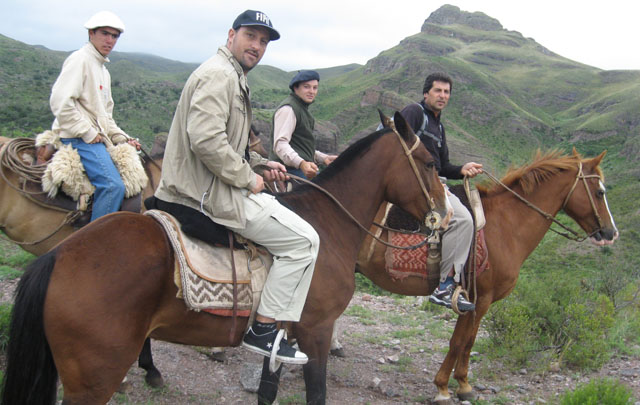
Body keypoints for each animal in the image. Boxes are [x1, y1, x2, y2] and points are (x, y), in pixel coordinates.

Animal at [0, 112, 450, 404]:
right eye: (430, 163)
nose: (444, 216)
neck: (328, 223)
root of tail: (57, 258)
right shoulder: (317, 330)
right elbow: (317, 393)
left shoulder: (283, 340)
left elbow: (267, 392)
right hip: (93, 379)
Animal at [358, 149, 616, 404]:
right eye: (600, 192)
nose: (611, 232)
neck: (506, 226)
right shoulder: (480, 298)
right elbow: (461, 342)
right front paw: (446, 387)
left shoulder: (473, 300)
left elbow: (465, 341)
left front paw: (460, 385)